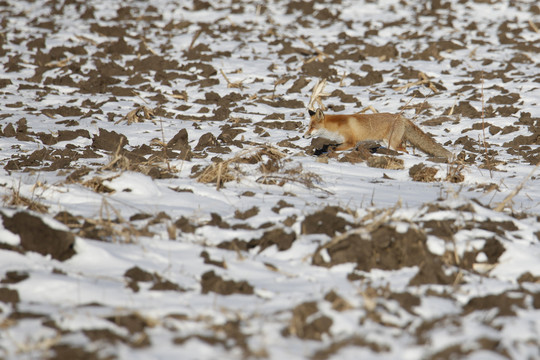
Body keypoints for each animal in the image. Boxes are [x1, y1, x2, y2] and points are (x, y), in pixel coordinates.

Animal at [304, 108, 452, 162]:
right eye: (308, 126)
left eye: (312, 127)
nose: (304, 136)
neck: (336, 127)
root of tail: (401, 117)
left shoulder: (351, 142)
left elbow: (334, 148)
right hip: (386, 143)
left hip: (392, 143)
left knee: (405, 151)